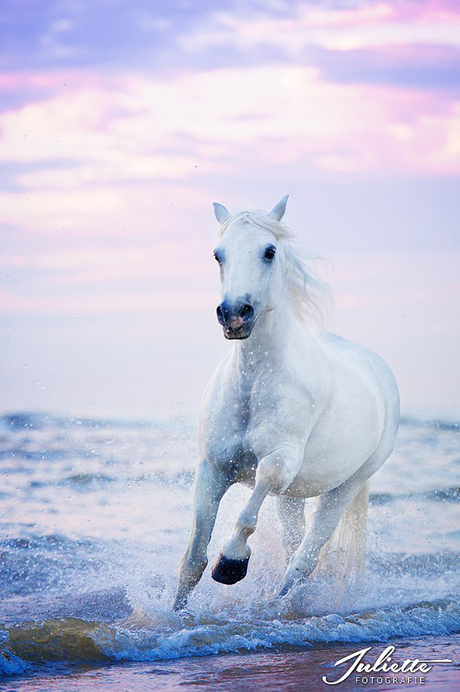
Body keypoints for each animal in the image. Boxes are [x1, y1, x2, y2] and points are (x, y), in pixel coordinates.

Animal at [172, 196, 398, 612]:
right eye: (217, 254)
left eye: (269, 251)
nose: (234, 314)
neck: (255, 383)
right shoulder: (213, 467)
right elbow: (193, 558)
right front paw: (171, 615)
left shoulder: (279, 461)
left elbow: (250, 509)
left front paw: (231, 563)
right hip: (293, 498)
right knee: (294, 547)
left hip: (346, 487)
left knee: (303, 561)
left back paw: (280, 607)